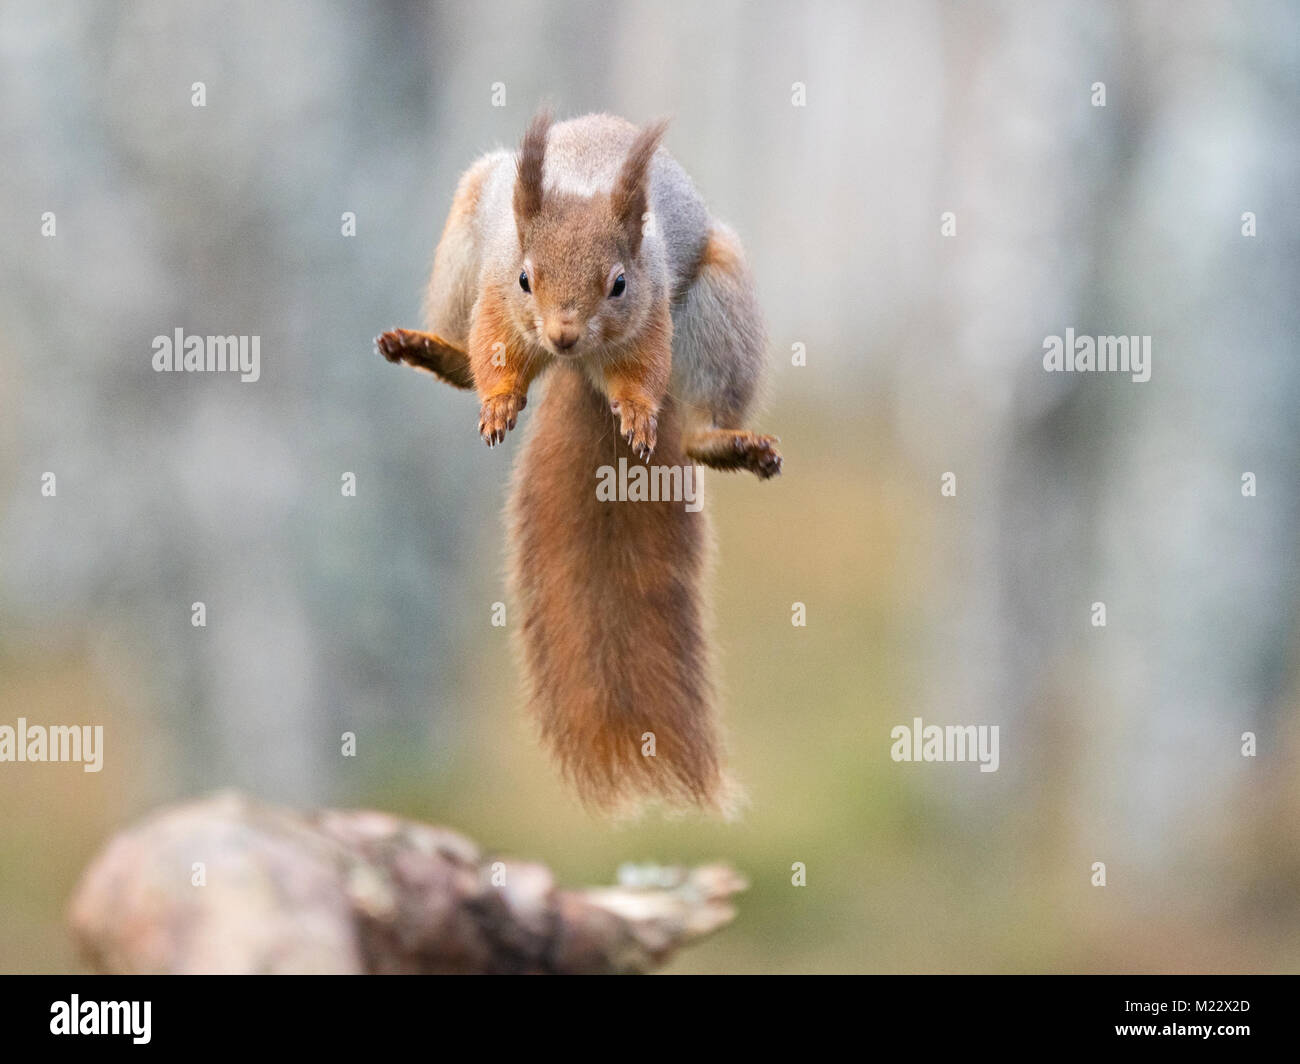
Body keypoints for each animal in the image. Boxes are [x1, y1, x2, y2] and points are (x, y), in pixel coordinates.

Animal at [377, 109, 780, 811]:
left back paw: (721, 440)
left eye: (617, 283)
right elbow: (494, 353)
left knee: (699, 424)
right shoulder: (495, 296)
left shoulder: (650, 312)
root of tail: (576, 369)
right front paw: (499, 403)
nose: (563, 333)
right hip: (461, 244)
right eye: (526, 278)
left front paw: (640, 415)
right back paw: (434, 350)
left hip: (721, 303)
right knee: (462, 357)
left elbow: (642, 373)